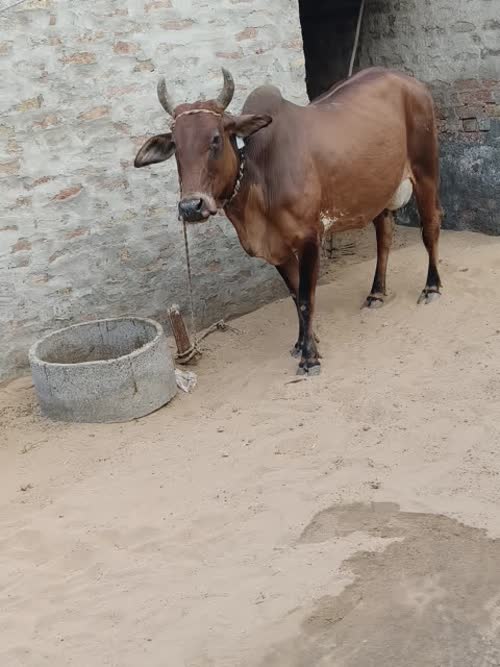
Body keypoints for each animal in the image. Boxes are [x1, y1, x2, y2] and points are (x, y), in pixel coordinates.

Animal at [134, 66, 442, 375]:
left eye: (215, 138)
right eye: (175, 145)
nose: (190, 207)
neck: (259, 172)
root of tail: (408, 81)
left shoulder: (309, 238)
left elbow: (306, 299)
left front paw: (310, 358)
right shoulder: (276, 250)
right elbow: (295, 295)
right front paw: (302, 343)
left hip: (425, 170)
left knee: (430, 228)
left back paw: (431, 287)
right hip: (378, 190)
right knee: (384, 237)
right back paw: (376, 293)